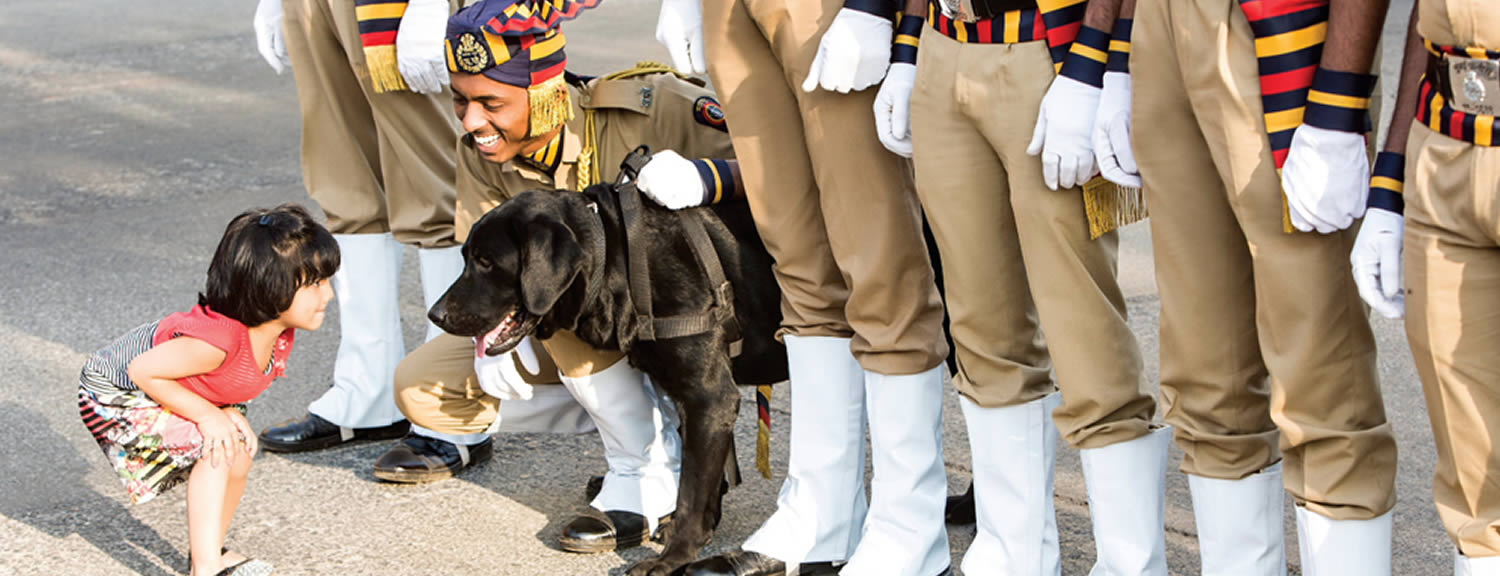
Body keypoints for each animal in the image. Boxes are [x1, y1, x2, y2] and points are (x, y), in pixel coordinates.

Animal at [429, 186, 792, 573]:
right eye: (466, 257)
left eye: (487, 262)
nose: (435, 314)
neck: (620, 258)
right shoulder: (687, 395)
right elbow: (700, 476)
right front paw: (697, 528)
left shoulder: (709, 396)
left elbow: (692, 490)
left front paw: (674, 557)